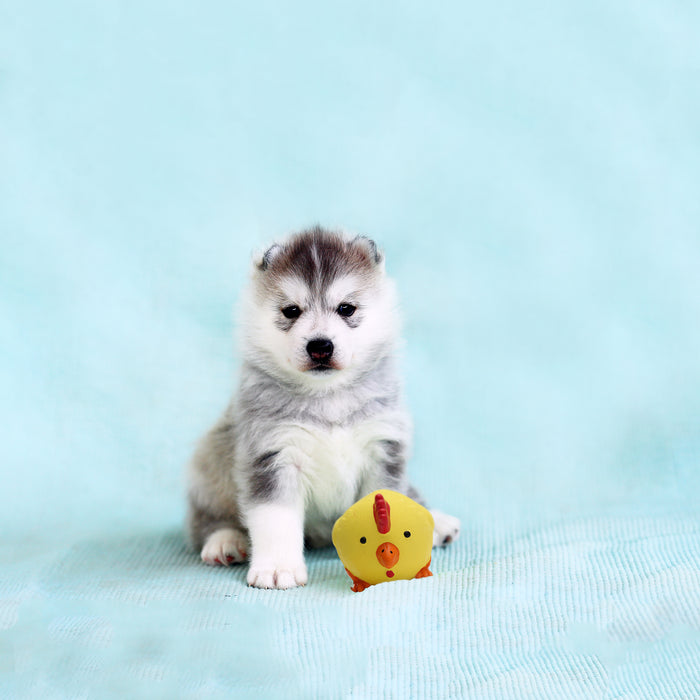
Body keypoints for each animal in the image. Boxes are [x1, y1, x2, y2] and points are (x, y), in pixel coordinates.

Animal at [187, 227, 460, 588]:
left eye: (346, 308)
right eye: (291, 311)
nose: (320, 346)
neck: (328, 396)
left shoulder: (383, 446)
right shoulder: (272, 454)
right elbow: (275, 519)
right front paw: (277, 567)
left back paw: (436, 521)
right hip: (210, 466)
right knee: (206, 520)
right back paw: (225, 541)